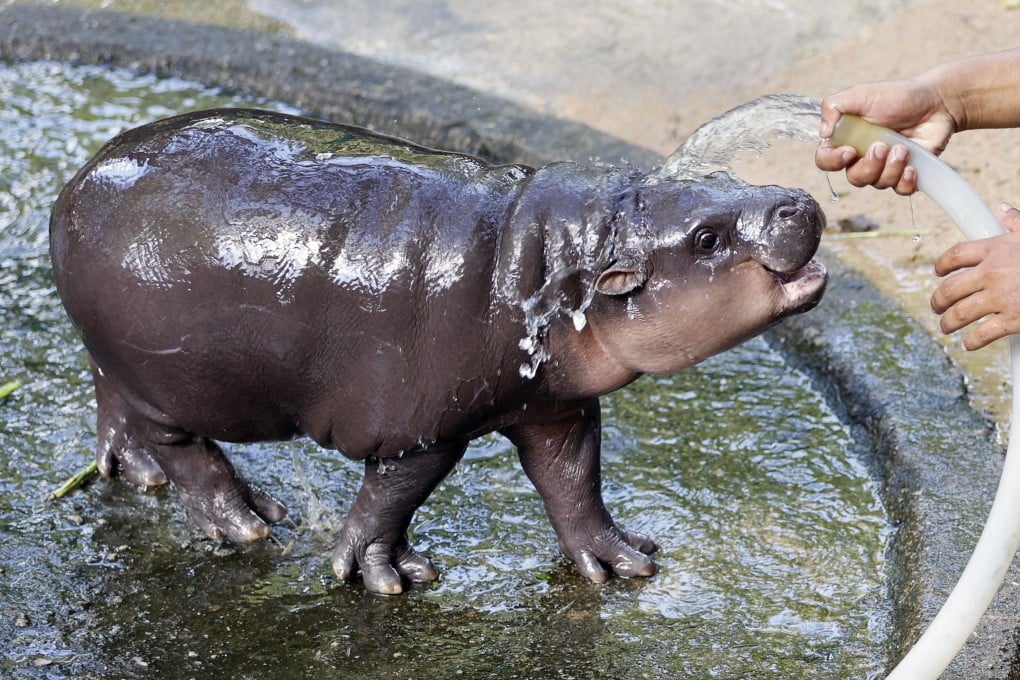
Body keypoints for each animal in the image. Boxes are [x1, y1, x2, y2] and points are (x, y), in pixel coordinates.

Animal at [49, 108, 827, 595]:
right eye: (706, 238)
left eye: (720, 181)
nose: (800, 202)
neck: (555, 258)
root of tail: (75, 184)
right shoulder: (420, 430)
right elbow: (391, 500)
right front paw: (387, 578)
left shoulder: (556, 408)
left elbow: (573, 483)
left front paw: (623, 562)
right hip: (170, 378)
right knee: (183, 447)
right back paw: (249, 524)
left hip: (115, 354)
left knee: (113, 400)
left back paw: (136, 474)